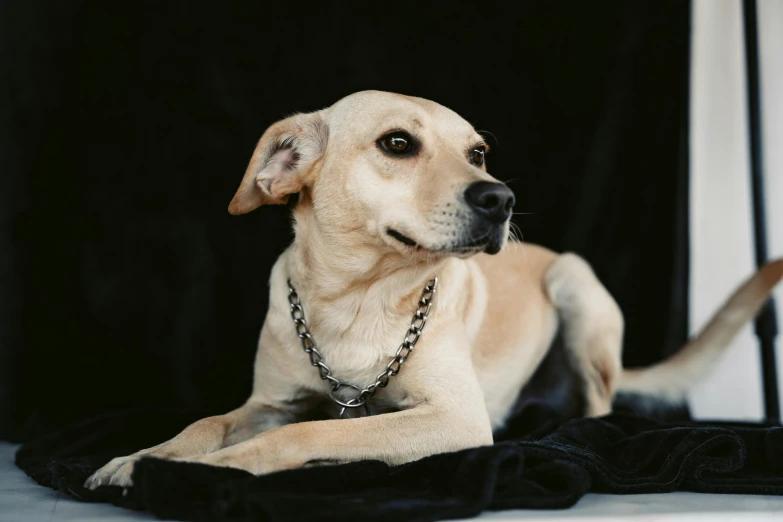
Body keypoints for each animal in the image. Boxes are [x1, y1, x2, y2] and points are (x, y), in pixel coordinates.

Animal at [86, 90, 783, 488]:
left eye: (477, 153)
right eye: (398, 143)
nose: (501, 199)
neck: (357, 299)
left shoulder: (452, 417)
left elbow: (308, 435)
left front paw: (215, 469)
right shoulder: (271, 401)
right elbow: (206, 422)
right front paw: (144, 457)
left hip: (574, 284)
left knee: (601, 408)